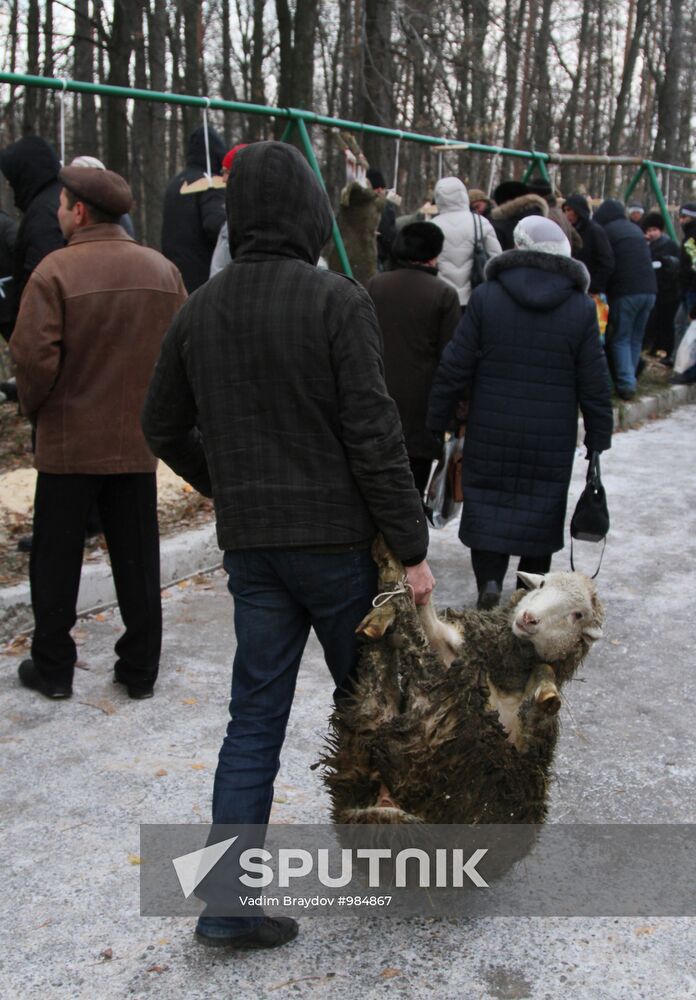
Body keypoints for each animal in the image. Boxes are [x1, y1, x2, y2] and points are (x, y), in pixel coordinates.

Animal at [320, 536, 604, 824]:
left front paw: (545, 689)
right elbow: (428, 615)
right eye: (543, 584)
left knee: (410, 641)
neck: (504, 680)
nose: (528, 618)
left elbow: (540, 709)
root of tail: (386, 804)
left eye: (578, 615)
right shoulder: (451, 644)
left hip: (429, 723)